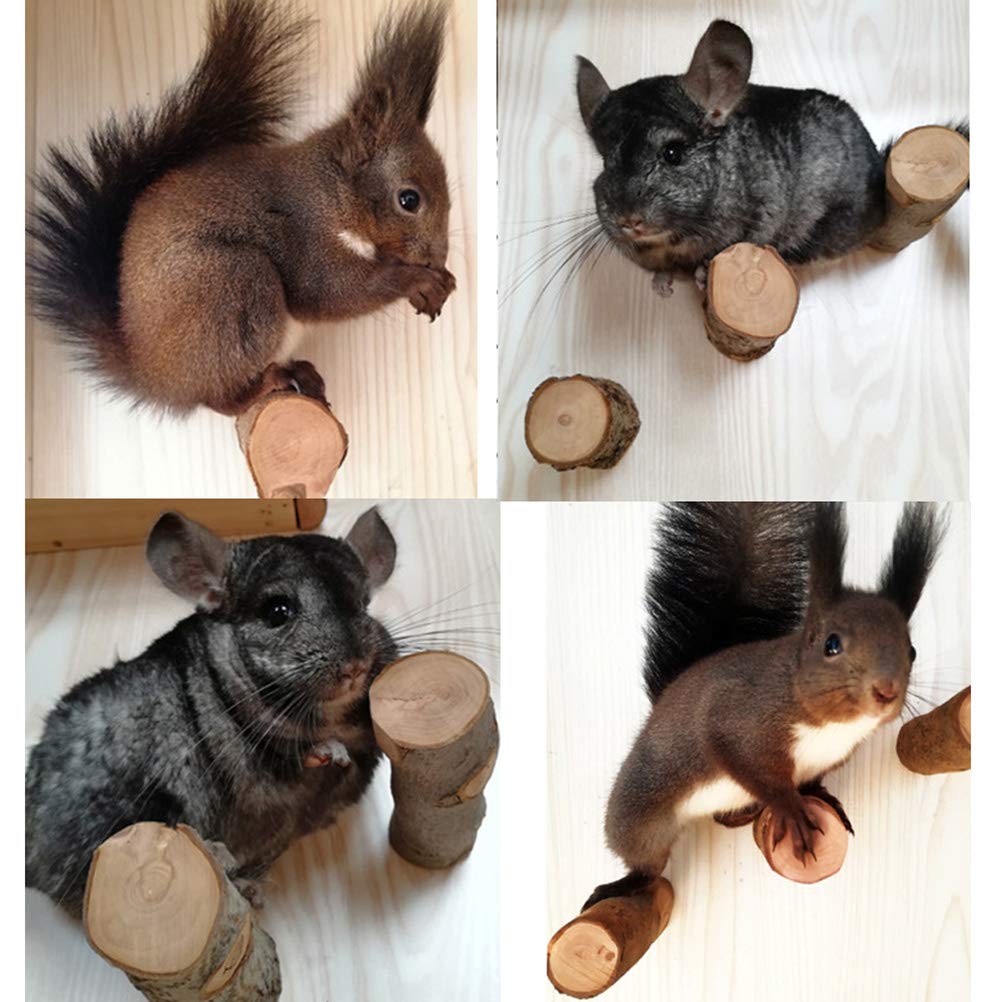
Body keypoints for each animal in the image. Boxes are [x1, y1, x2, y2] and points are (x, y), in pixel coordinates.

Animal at [27, 0, 456, 415]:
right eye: (409, 200)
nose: (437, 256)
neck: (333, 193)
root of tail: (153, 377)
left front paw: (440, 280)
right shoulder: (307, 241)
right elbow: (335, 292)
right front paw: (418, 280)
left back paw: (295, 372)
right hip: (235, 284)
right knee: (215, 398)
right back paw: (259, 387)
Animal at [584, 502, 945, 911]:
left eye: (911, 651)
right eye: (831, 645)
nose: (886, 690)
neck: (832, 730)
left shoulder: (830, 758)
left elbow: (811, 783)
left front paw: (821, 798)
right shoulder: (736, 722)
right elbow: (754, 770)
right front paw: (790, 808)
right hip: (641, 810)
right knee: (646, 861)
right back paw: (624, 883)